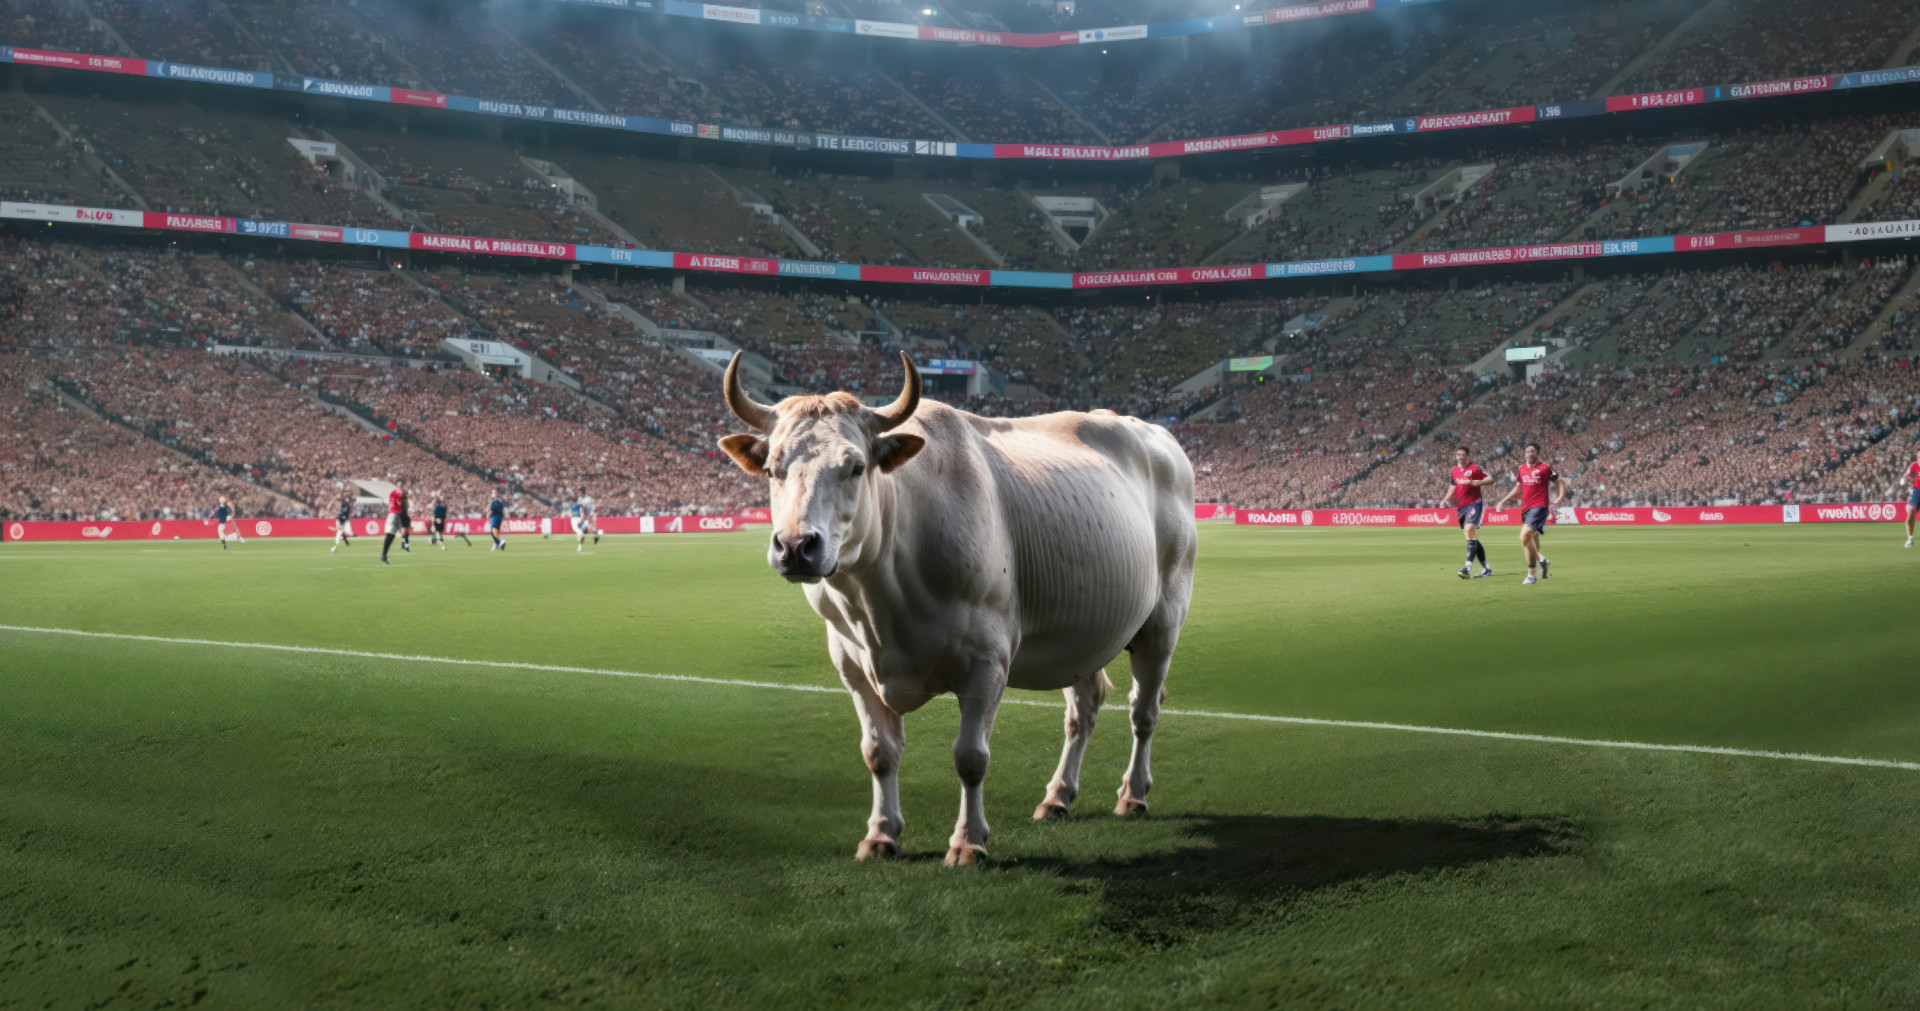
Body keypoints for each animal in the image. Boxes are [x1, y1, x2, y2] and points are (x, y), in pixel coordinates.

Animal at [716, 351, 1197, 865]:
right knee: (1083, 709)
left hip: (1164, 617)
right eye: (772, 469)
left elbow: (971, 756)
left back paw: (1133, 794)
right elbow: (878, 752)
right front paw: (881, 833)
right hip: (1082, 630)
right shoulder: (851, 662)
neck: (881, 599)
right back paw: (1058, 795)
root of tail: (1156, 433)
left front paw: (968, 841)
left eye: (856, 466)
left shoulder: (988, 659)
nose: (796, 546)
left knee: (1144, 710)